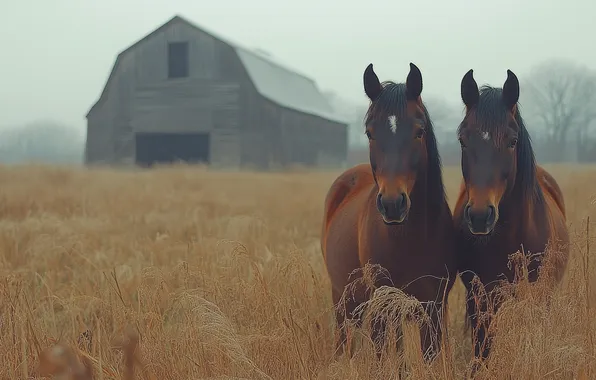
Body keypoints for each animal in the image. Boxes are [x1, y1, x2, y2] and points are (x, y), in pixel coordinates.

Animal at [322, 63, 456, 360]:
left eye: (419, 131)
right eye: (370, 133)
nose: (393, 204)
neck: (407, 238)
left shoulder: (433, 308)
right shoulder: (381, 304)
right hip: (342, 301)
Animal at [454, 68, 572, 362]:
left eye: (512, 141)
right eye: (462, 140)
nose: (480, 216)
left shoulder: (538, 293)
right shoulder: (480, 296)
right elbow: (483, 346)